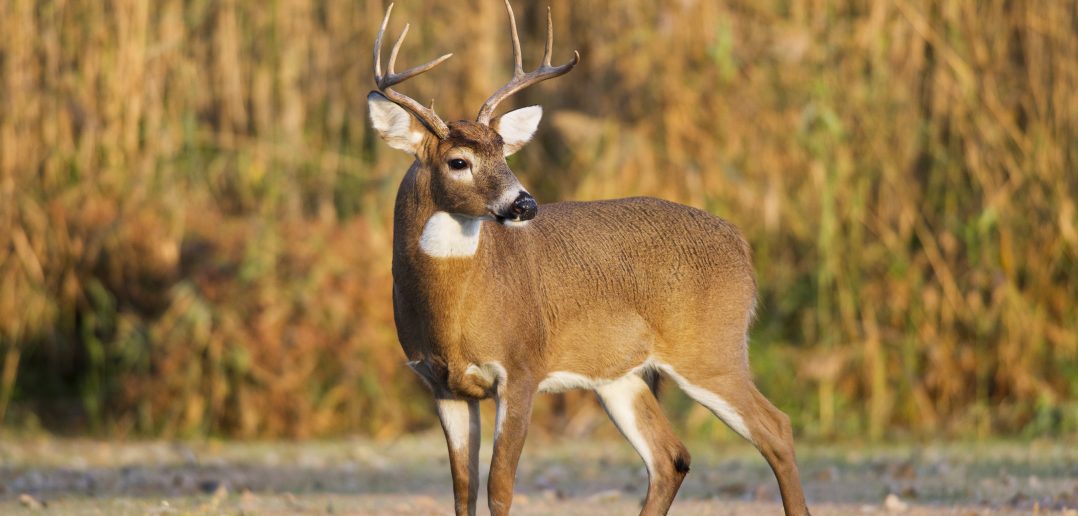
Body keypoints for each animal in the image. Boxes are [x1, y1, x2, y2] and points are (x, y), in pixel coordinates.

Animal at [368, 2, 810, 514]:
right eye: (459, 161)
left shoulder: (521, 366)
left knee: (777, 428)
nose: (524, 204)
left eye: (504, 152)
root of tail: (741, 243)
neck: (453, 313)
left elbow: (500, 485)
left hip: (711, 347)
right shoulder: (442, 385)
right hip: (619, 374)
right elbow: (463, 491)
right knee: (670, 456)